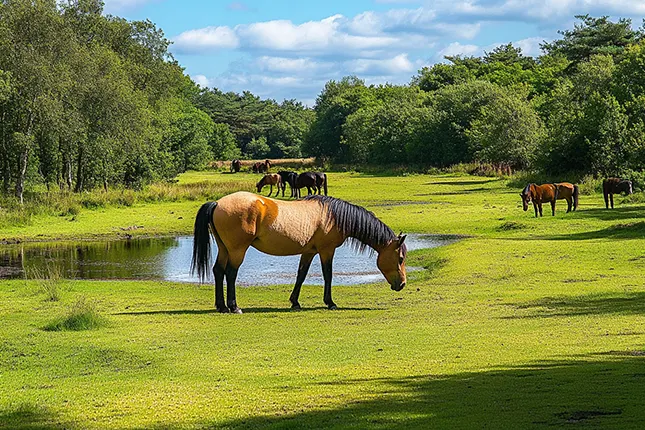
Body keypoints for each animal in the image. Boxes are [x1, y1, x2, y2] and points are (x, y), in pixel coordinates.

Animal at [190, 191, 408, 312]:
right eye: (400, 258)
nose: (403, 284)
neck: (333, 215)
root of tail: (218, 203)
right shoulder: (326, 251)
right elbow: (328, 275)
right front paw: (330, 302)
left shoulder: (309, 251)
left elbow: (301, 275)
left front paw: (295, 302)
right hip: (237, 250)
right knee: (230, 273)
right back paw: (234, 307)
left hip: (224, 248)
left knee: (218, 271)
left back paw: (222, 307)